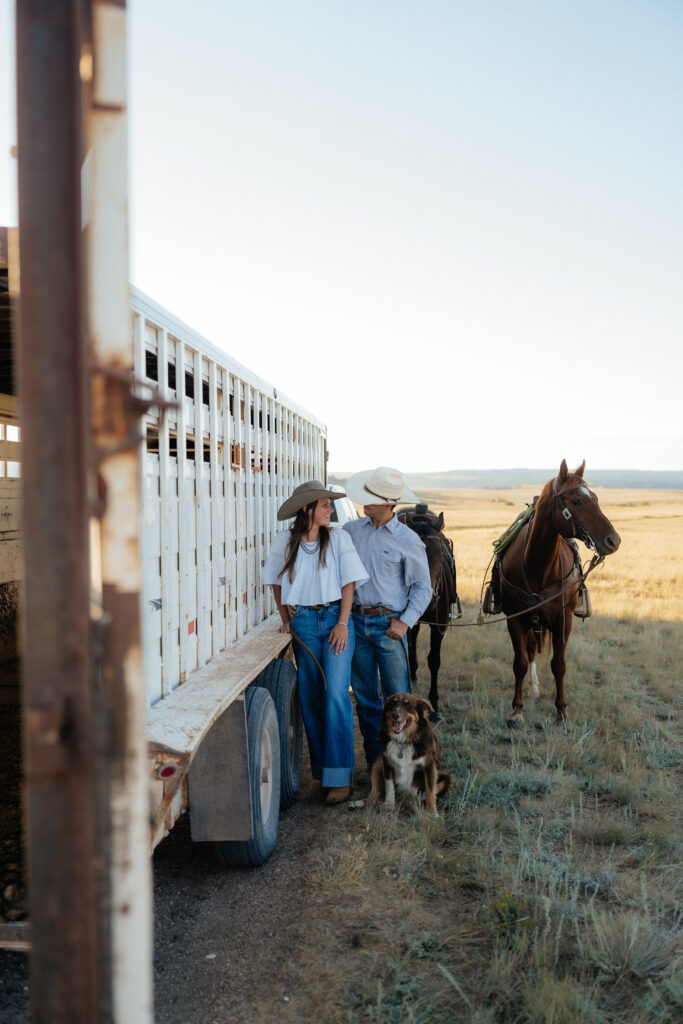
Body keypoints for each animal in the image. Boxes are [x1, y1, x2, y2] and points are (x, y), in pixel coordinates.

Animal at [488, 460, 620, 727]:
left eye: (596, 498)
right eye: (577, 501)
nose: (613, 540)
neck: (537, 565)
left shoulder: (563, 619)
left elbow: (559, 665)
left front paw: (561, 712)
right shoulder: (514, 619)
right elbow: (520, 663)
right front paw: (517, 711)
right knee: (530, 652)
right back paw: (533, 690)